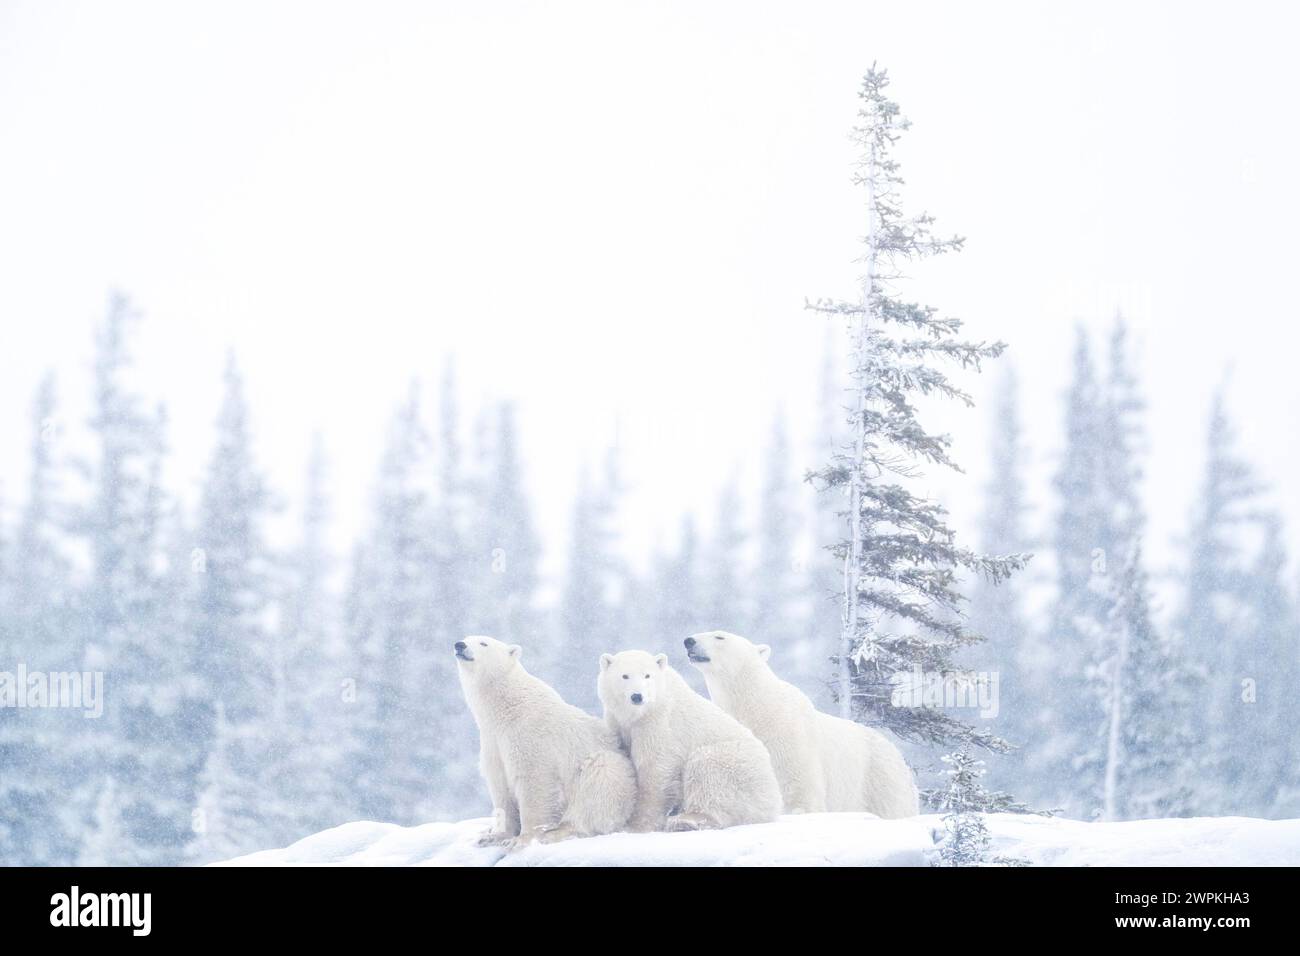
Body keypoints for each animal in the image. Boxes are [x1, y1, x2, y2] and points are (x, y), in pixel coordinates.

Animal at [454, 634, 637, 842]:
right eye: (467, 638)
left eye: (483, 643)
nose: (459, 645)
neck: (508, 708)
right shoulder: (492, 742)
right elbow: (500, 787)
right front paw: (494, 837)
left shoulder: (530, 736)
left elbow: (535, 781)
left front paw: (522, 839)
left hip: (614, 777)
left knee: (599, 779)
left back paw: (561, 831)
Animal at [598, 650, 780, 832]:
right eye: (624, 676)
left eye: (647, 675)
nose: (637, 696)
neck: (639, 715)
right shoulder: (618, 723)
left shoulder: (659, 724)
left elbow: (655, 769)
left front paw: (637, 825)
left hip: (737, 766)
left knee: (706, 771)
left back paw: (685, 820)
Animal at [686, 632, 920, 816]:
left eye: (719, 636)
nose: (688, 641)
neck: (757, 708)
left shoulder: (789, 734)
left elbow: (800, 788)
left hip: (878, 779)